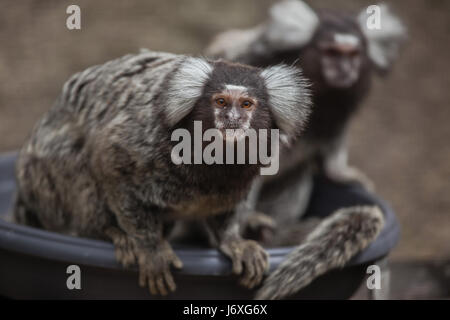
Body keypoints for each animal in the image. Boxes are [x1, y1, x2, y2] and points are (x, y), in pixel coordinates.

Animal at [12, 49, 312, 296]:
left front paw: (233, 240)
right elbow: (109, 164)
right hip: (45, 173)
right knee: (77, 167)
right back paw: (107, 231)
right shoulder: (142, 139)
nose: (233, 120)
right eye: (221, 102)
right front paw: (151, 246)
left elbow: (228, 210)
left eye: (247, 104)